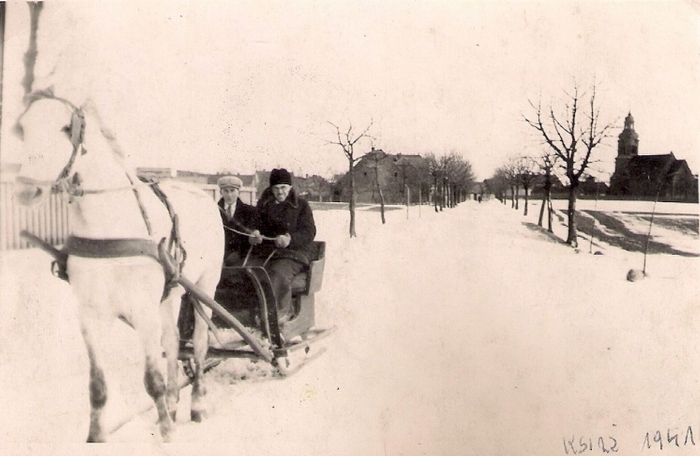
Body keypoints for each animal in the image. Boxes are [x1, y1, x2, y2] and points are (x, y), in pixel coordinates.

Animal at [14, 91, 224, 444]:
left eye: (65, 128)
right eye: (23, 129)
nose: (26, 189)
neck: (108, 226)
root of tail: (206, 196)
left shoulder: (142, 311)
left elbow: (151, 379)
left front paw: (167, 434)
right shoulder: (91, 316)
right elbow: (97, 385)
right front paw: (96, 437)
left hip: (205, 285)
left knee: (198, 345)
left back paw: (196, 405)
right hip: (168, 294)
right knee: (172, 342)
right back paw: (173, 403)